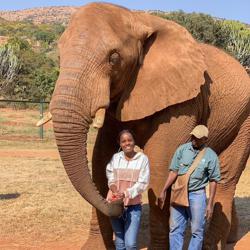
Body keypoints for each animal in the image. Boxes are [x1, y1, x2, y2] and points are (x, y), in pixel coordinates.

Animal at [48, 2, 250, 250]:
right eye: (59, 55)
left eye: (114, 58)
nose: (118, 202)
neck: (137, 18)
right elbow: (100, 160)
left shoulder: (183, 102)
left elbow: (161, 164)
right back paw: (229, 239)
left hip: (244, 120)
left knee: (226, 179)